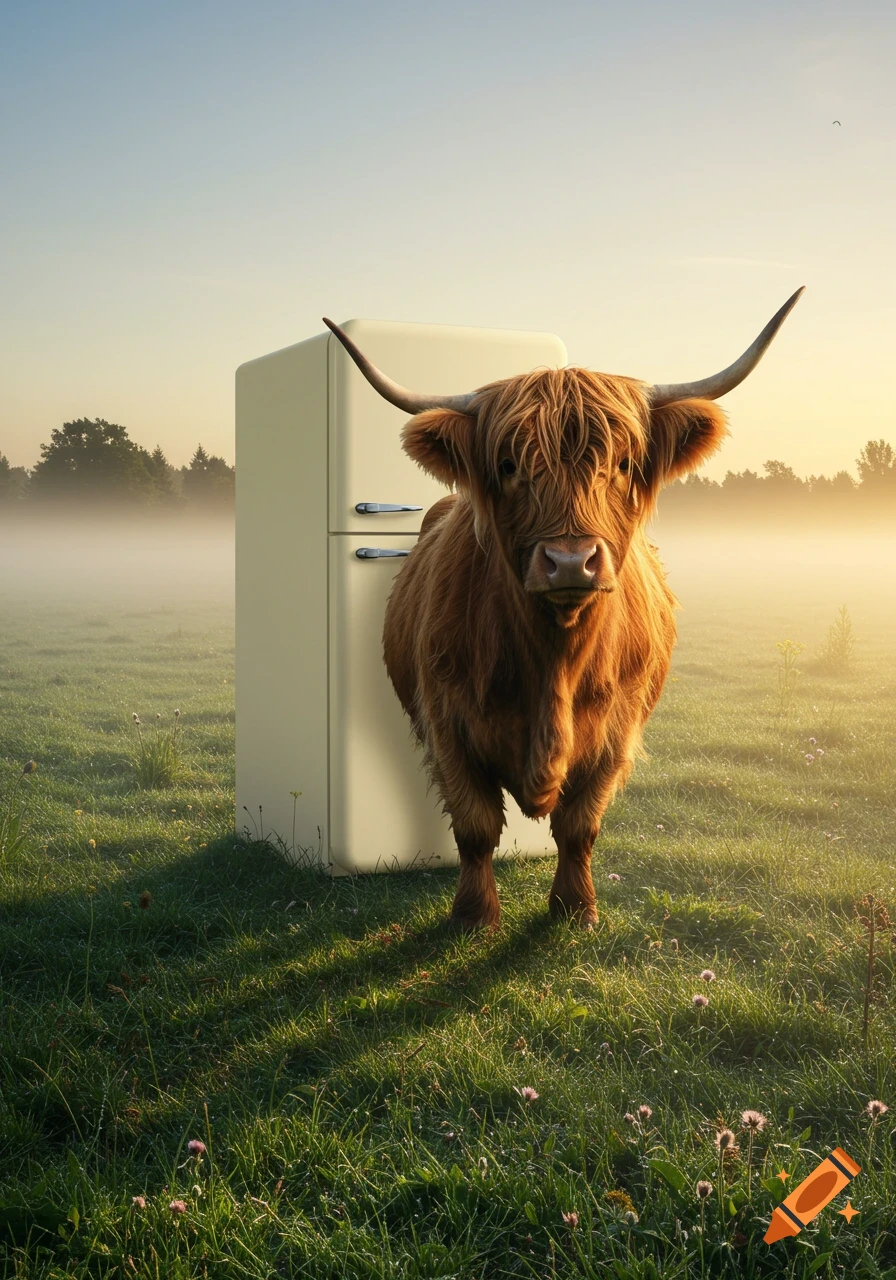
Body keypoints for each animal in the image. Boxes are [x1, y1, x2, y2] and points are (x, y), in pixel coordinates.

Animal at [324, 290, 803, 931]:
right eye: (508, 466)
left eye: (622, 464)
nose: (571, 562)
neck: (554, 659)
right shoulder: (446, 720)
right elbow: (475, 826)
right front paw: (474, 916)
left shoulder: (618, 730)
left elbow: (580, 825)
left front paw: (576, 909)